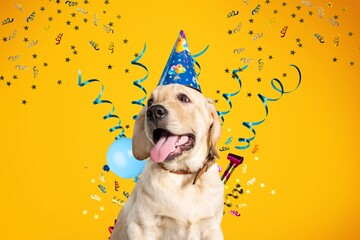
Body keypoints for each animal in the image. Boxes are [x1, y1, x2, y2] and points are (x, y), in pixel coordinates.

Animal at [111, 83, 224, 239]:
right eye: (150, 102)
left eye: (183, 98)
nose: (153, 111)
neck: (182, 173)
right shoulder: (141, 227)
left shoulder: (211, 228)